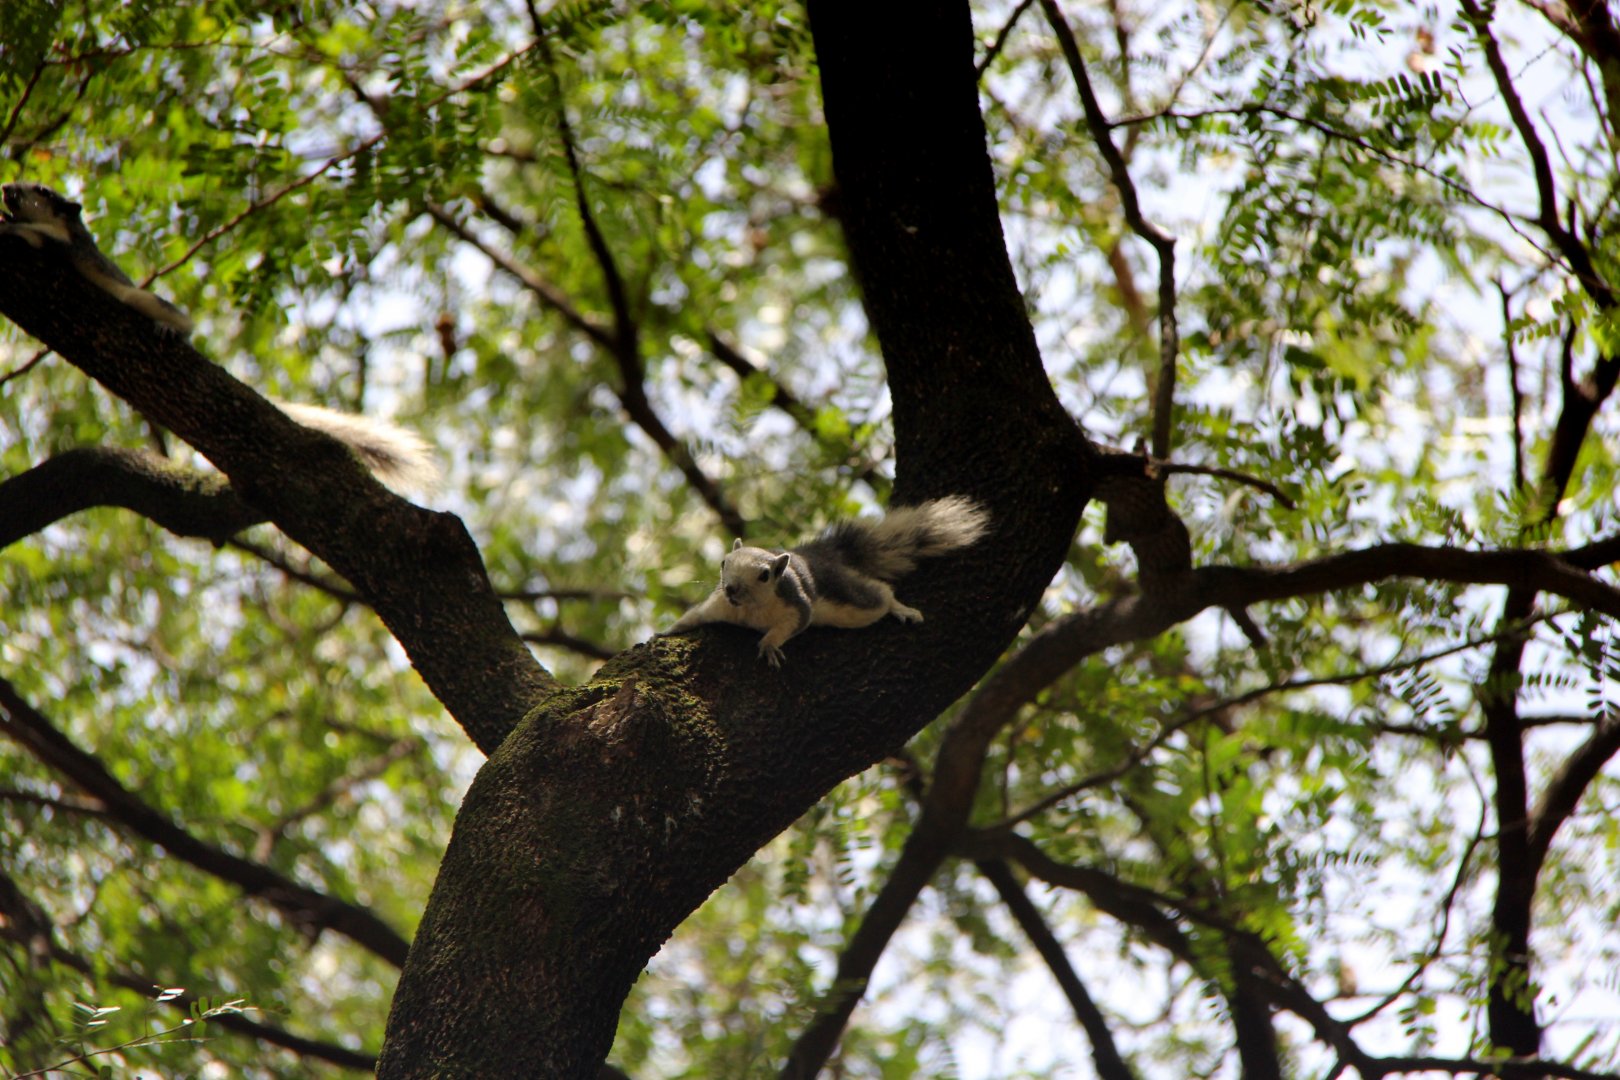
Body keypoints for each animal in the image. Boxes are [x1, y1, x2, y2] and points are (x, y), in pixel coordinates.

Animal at [0, 181, 192, 334]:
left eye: (43, 191)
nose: (5, 187)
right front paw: (6, 218)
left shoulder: (70, 244)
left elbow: (37, 235)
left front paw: (10, 227)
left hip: (136, 297)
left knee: (183, 322)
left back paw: (172, 326)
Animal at [669, 495, 990, 667]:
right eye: (724, 563)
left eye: (764, 575)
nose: (731, 588)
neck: (749, 609)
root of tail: (821, 558)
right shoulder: (718, 606)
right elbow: (696, 615)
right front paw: (671, 630)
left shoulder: (796, 605)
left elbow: (792, 624)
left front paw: (770, 645)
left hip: (855, 602)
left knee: (880, 594)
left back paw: (901, 609)